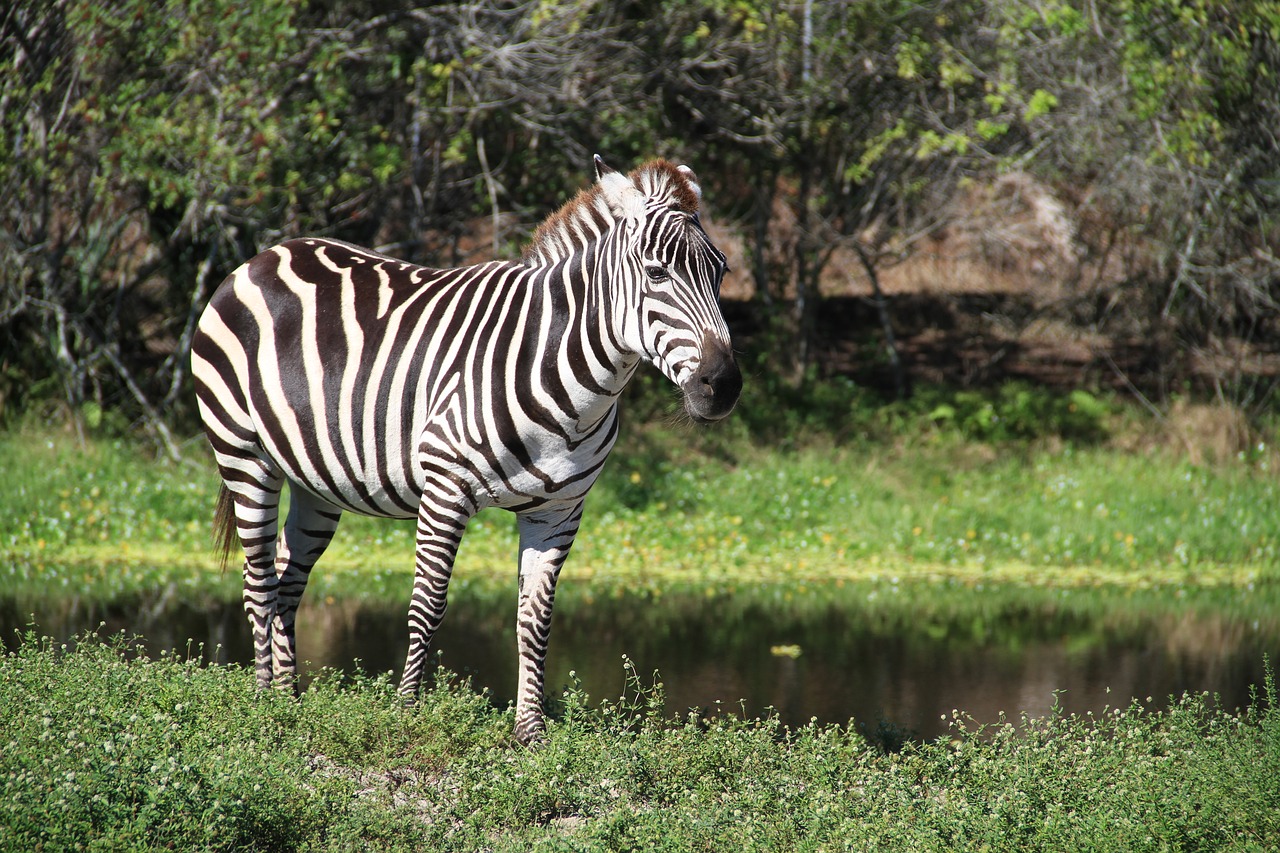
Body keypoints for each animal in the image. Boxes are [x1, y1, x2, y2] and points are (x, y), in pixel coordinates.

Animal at [189, 156, 742, 742]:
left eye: (722, 273)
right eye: (657, 274)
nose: (723, 385)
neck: (568, 378)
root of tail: (263, 256)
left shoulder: (560, 510)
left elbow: (535, 618)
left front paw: (530, 733)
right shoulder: (445, 489)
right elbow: (428, 603)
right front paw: (406, 713)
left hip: (316, 480)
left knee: (289, 575)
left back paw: (290, 698)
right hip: (243, 454)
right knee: (258, 578)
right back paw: (263, 704)